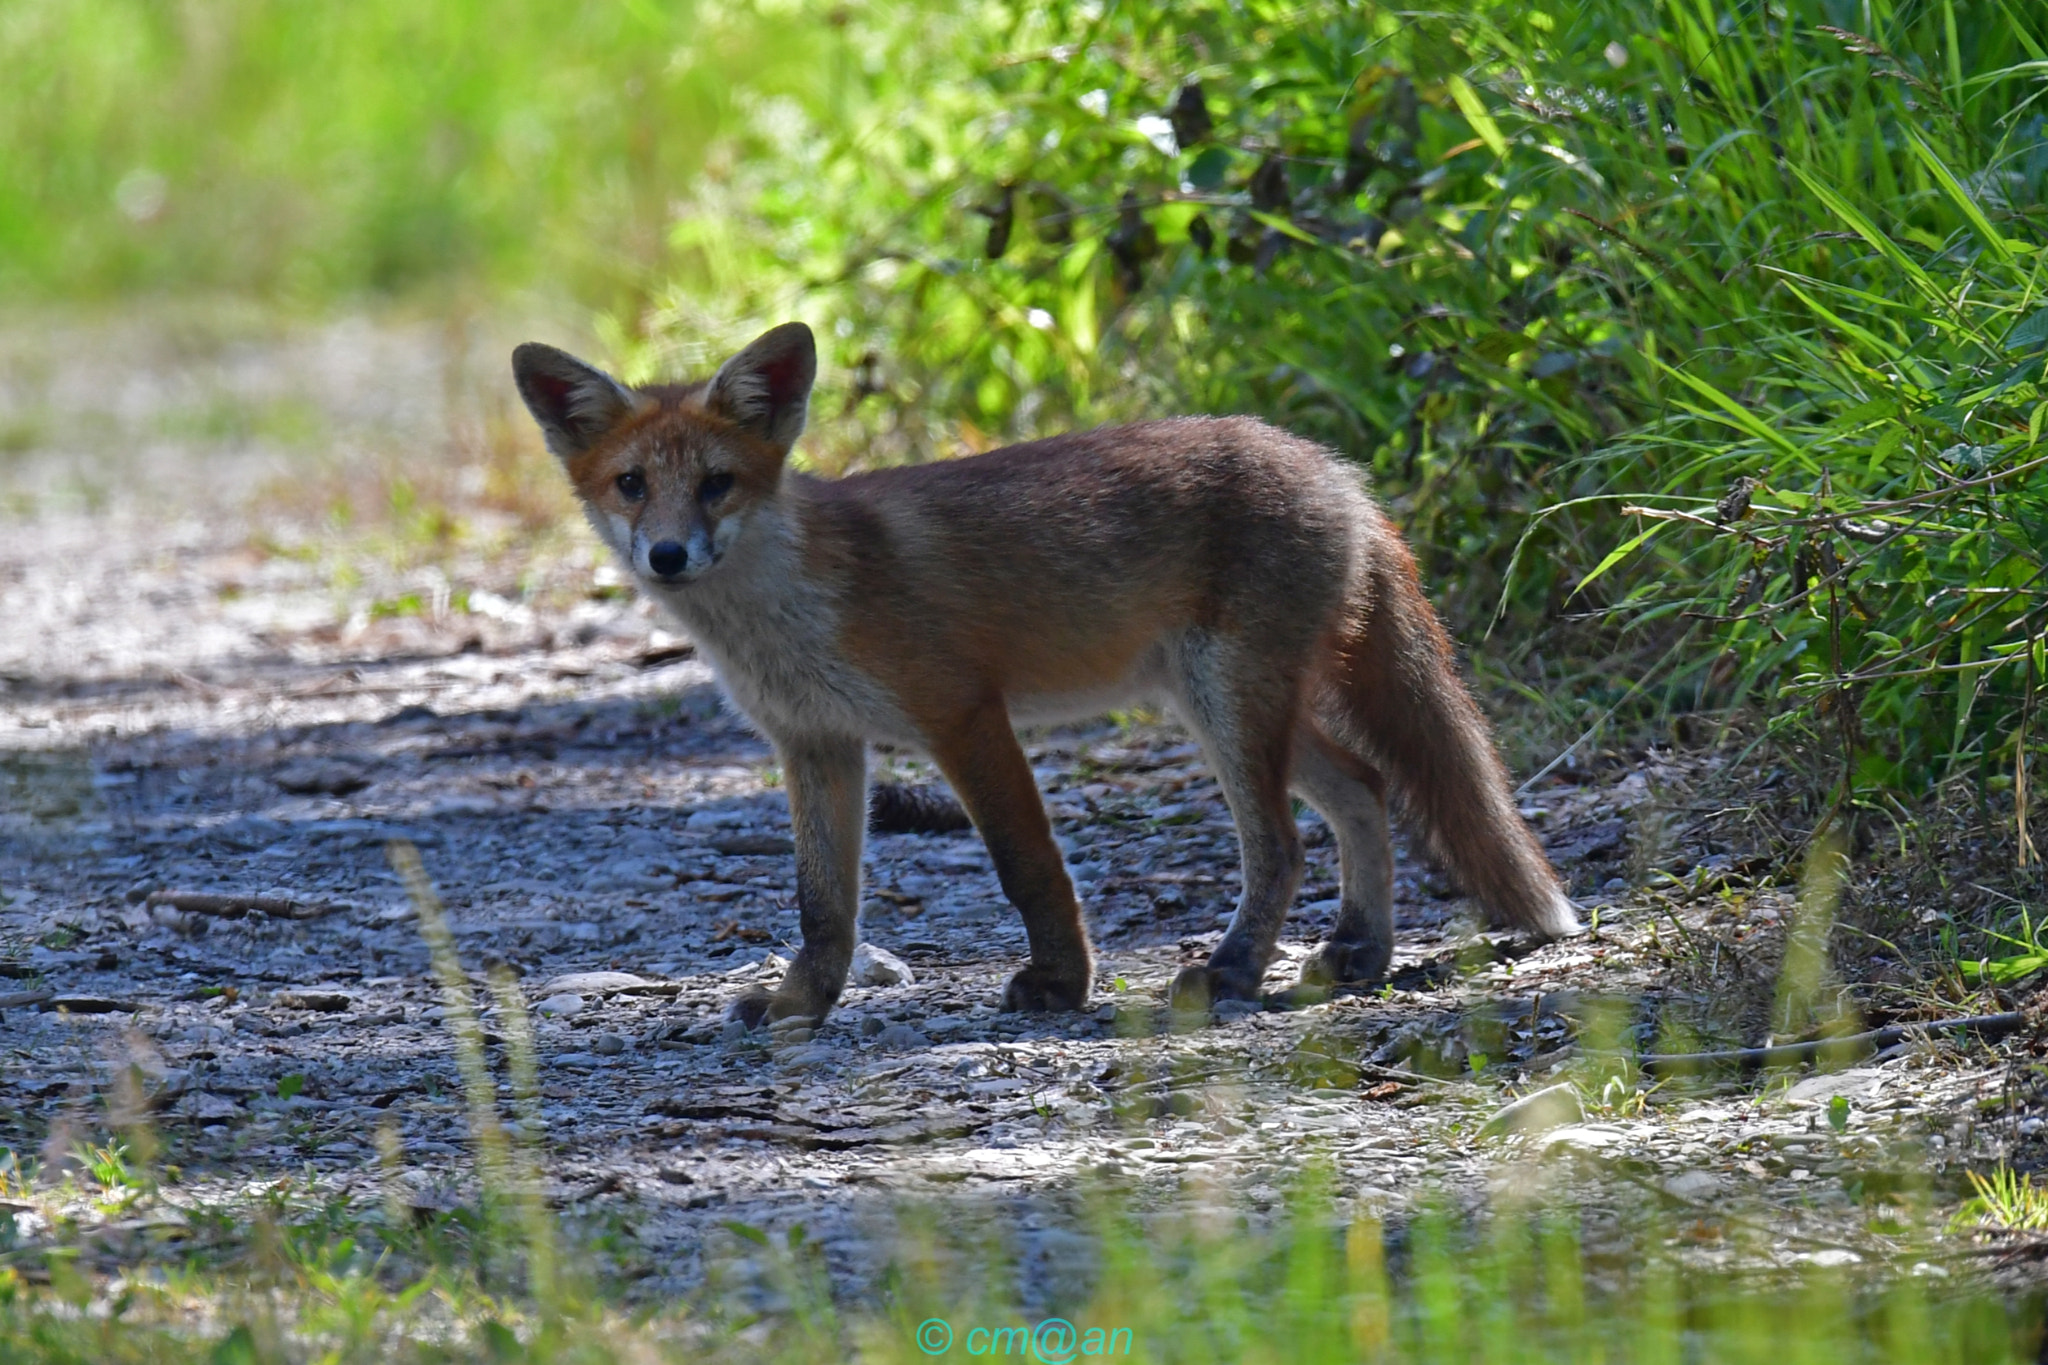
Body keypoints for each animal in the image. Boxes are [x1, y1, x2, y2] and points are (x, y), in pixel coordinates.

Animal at [511, 322, 1579, 1028]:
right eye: (631, 486)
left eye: (717, 485)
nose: (668, 556)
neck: (789, 611)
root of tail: (1337, 471)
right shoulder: (817, 743)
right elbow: (823, 905)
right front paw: (802, 1000)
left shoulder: (962, 713)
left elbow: (1027, 866)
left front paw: (1062, 985)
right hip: (1220, 702)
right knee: (1362, 790)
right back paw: (1359, 950)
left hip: (1230, 703)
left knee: (1280, 841)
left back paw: (1232, 973)